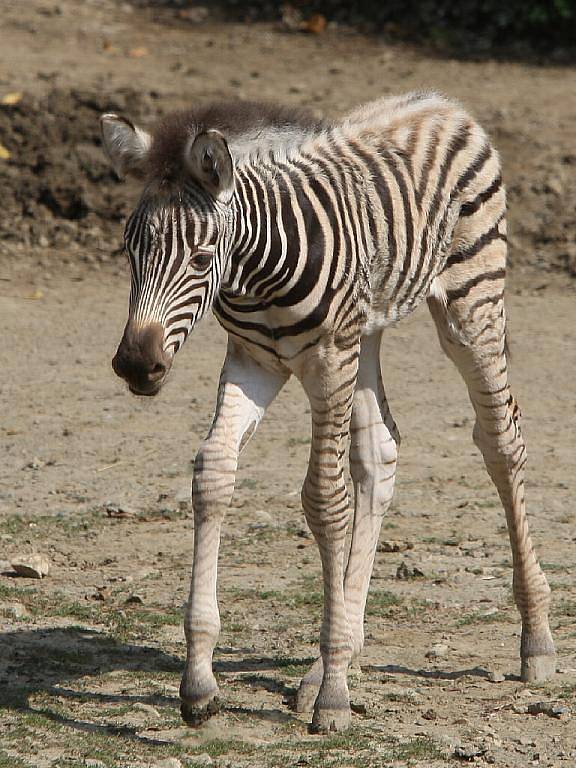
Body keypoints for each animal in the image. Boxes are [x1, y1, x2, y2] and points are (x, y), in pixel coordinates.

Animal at [101, 91, 556, 732]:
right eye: (128, 250)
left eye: (201, 257)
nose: (137, 366)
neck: (255, 274)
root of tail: (441, 102)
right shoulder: (253, 361)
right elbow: (213, 473)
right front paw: (199, 682)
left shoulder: (327, 359)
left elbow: (323, 497)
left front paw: (335, 696)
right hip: (366, 334)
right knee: (380, 452)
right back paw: (333, 658)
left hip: (470, 302)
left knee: (500, 440)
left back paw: (535, 640)